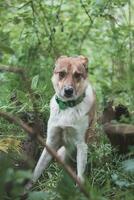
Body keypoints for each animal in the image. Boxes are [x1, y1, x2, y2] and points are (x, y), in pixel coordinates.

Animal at [31, 54, 96, 184]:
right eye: (61, 73)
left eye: (77, 75)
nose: (68, 91)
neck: (67, 107)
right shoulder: (51, 143)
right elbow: (37, 169)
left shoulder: (82, 145)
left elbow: (80, 178)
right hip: (60, 154)